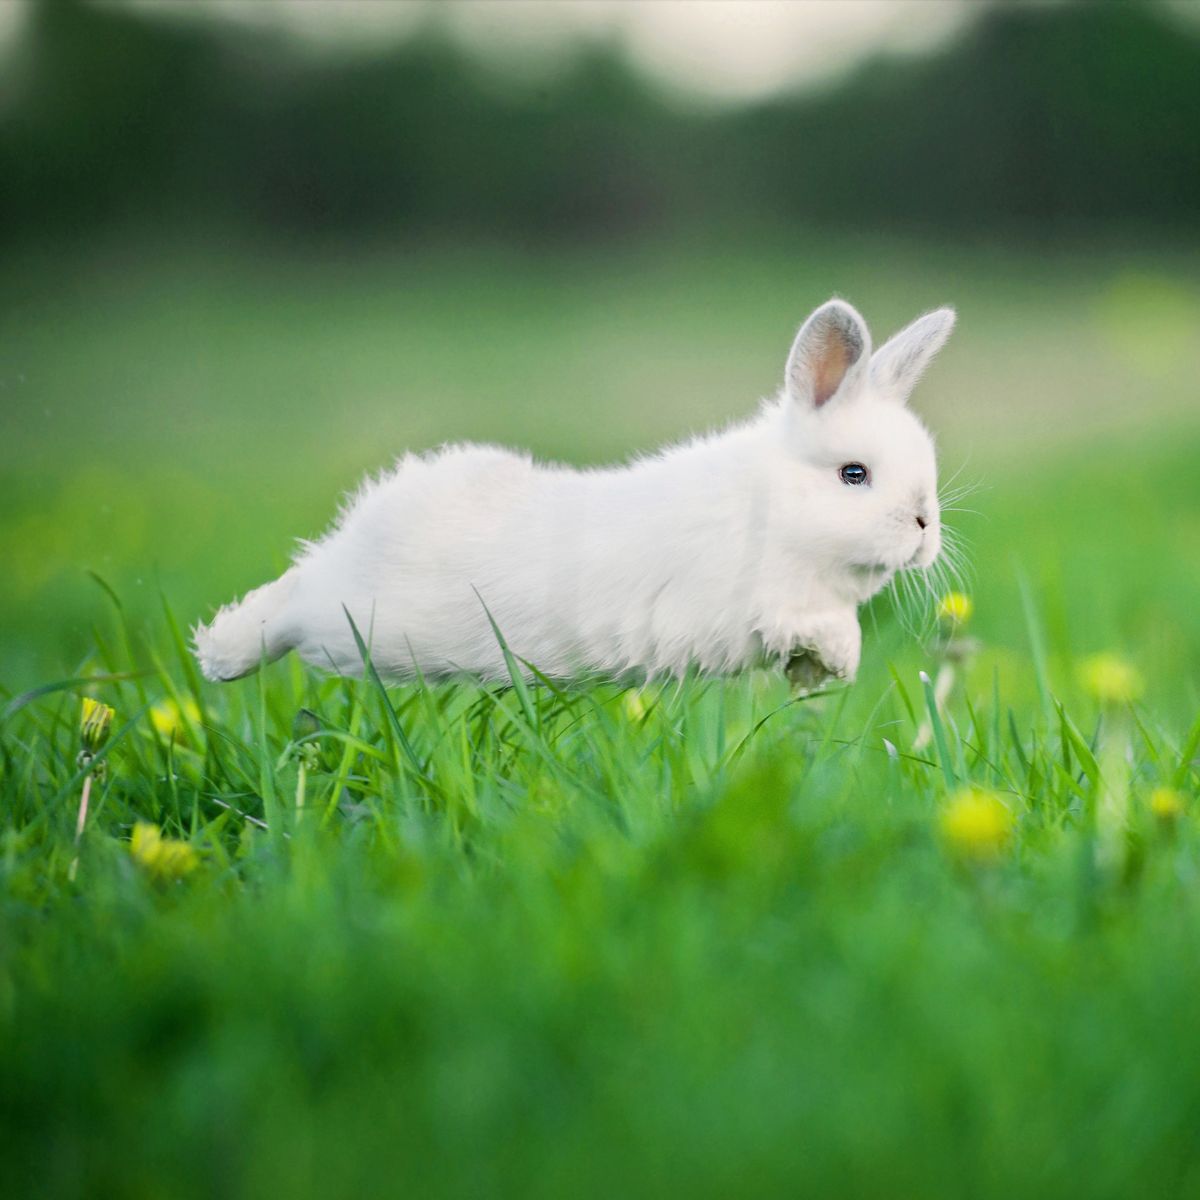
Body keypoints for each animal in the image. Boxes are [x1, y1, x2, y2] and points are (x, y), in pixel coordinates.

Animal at [192, 300, 950, 691]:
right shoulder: (767, 599)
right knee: (296, 600)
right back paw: (220, 655)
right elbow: (821, 625)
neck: (774, 507)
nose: (922, 526)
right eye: (853, 475)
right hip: (365, 622)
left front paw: (820, 678)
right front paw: (838, 660)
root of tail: (371, 519)